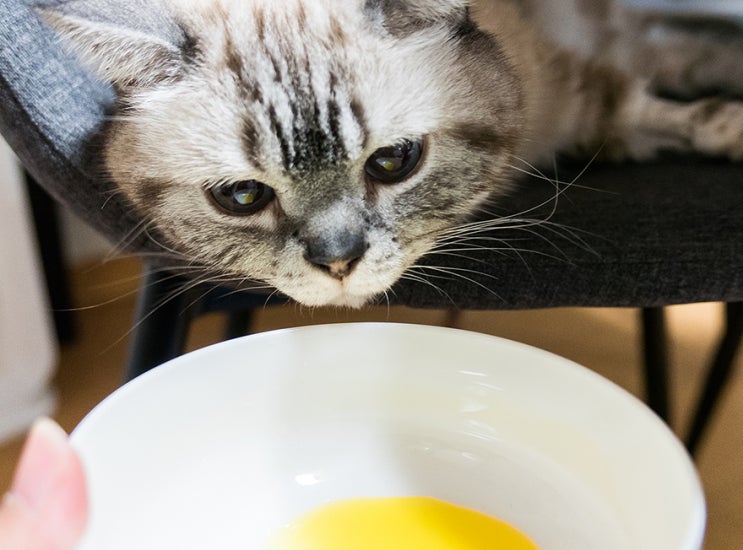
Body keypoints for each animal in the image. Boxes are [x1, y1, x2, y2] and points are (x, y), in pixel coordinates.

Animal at [42, 0, 743, 308]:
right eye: (242, 196)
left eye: (393, 161)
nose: (337, 264)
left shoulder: (580, 89)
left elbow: (661, 108)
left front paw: (726, 127)